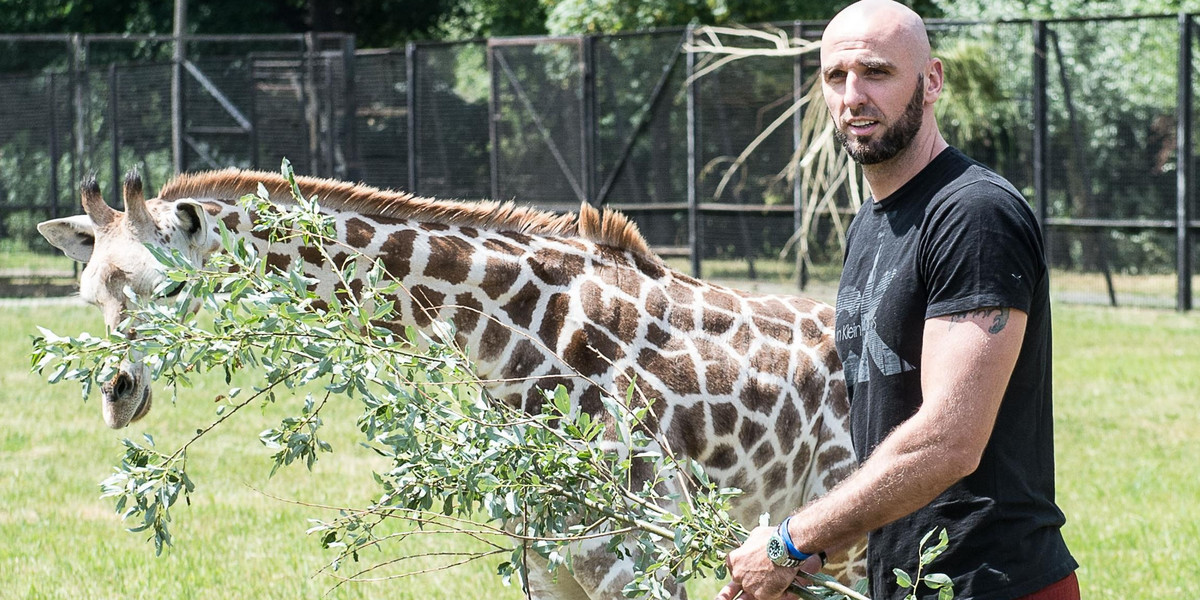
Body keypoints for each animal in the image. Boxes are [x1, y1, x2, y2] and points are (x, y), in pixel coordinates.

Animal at [37, 170, 864, 600]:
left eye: (174, 289)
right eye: (87, 291)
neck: (518, 340)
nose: (117, 392)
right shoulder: (549, 564)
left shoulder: (636, 562)